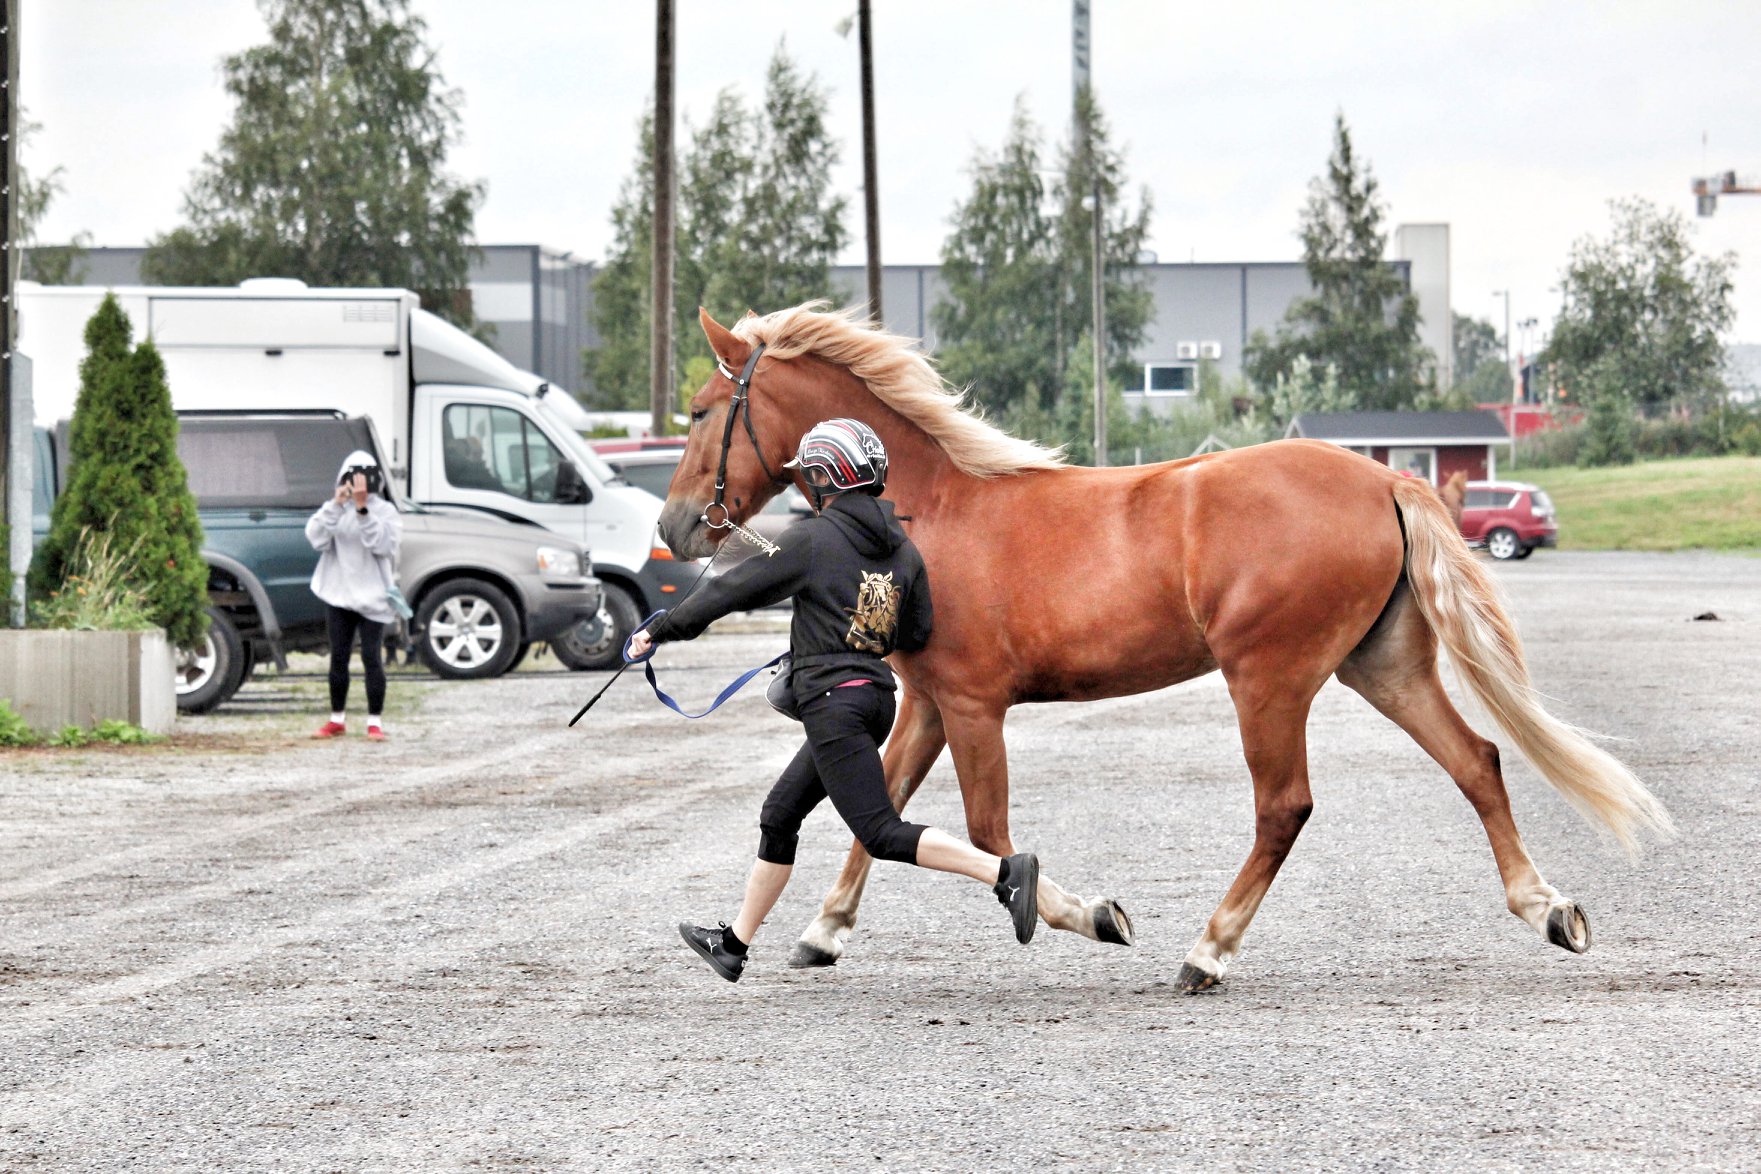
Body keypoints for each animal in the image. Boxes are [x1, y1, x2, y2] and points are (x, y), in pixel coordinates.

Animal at [658, 306, 1662, 992]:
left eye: (703, 410)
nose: (674, 527)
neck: (925, 508)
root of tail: (1381, 478)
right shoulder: (931, 705)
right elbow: (884, 813)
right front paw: (822, 932)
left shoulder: (975, 705)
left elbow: (986, 836)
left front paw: (1092, 915)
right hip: (1382, 666)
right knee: (1477, 761)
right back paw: (1547, 910)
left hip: (1269, 679)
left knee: (1284, 809)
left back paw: (1206, 952)